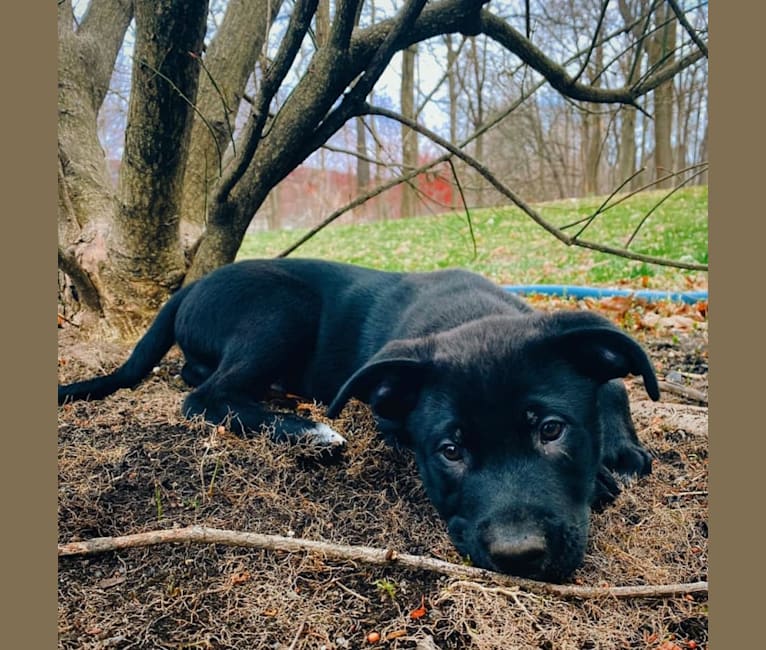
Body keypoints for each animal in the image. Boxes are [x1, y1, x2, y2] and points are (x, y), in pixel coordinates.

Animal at [60, 256, 660, 580]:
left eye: (551, 430)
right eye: (450, 451)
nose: (519, 557)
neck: (469, 316)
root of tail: (190, 285)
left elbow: (614, 388)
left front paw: (619, 452)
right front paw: (604, 478)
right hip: (282, 307)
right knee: (204, 396)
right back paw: (308, 431)